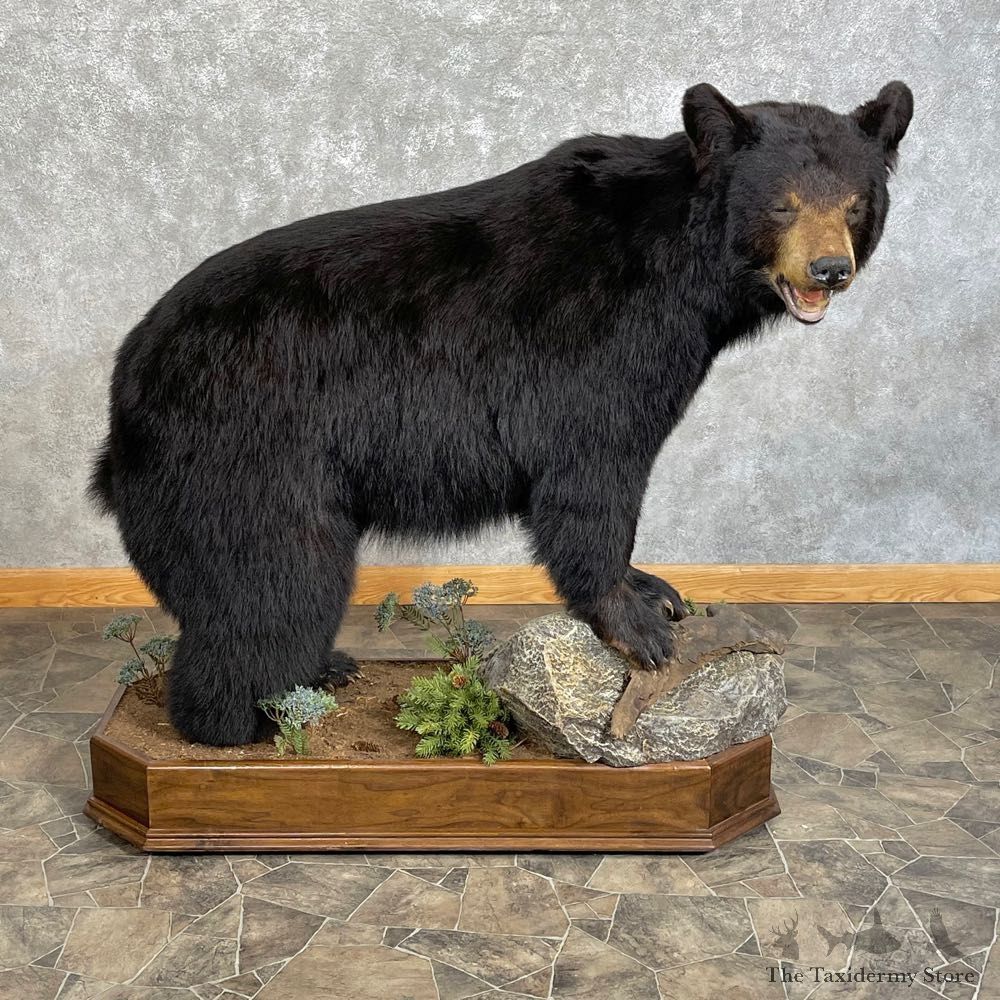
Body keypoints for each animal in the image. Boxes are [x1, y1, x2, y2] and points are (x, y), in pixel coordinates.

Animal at [90, 81, 913, 746]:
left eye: (854, 204)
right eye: (782, 204)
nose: (829, 270)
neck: (683, 268)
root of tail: (125, 385)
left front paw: (654, 586)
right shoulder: (600, 343)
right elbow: (592, 471)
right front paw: (632, 619)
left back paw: (318, 674)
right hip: (248, 445)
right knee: (277, 577)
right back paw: (246, 722)